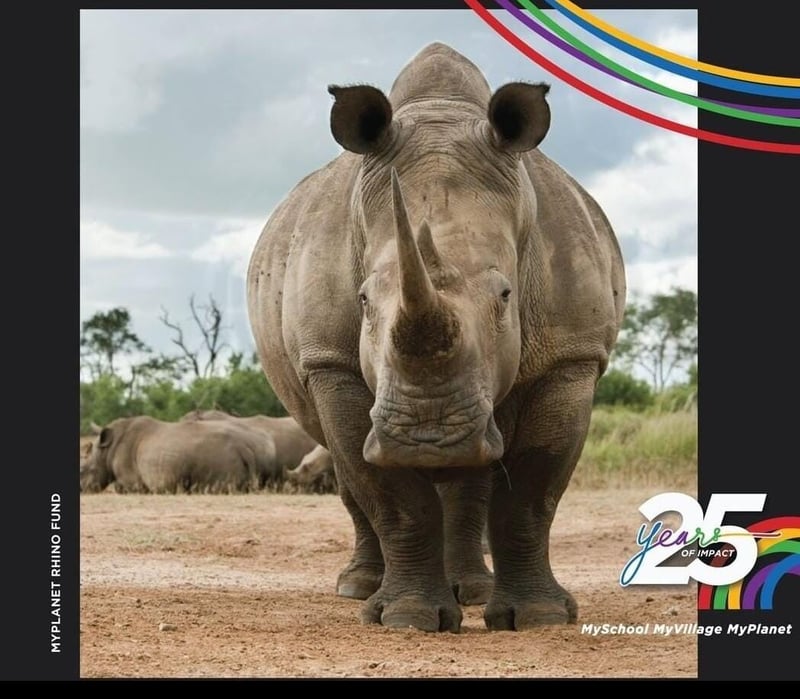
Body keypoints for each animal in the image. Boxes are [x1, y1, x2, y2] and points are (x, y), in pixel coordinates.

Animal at [80, 416, 278, 493]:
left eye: (83, 470)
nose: (81, 490)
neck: (105, 451)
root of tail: (245, 447)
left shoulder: (131, 480)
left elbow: (122, 487)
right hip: (264, 449)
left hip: (219, 454)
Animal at [247, 43, 625, 632]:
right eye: (362, 301)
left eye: (506, 296)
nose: (426, 436)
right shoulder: (330, 362)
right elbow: (388, 493)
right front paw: (406, 618)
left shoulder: (571, 356)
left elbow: (533, 489)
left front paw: (538, 618)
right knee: (348, 470)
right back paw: (359, 588)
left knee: (477, 475)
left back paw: (471, 589)